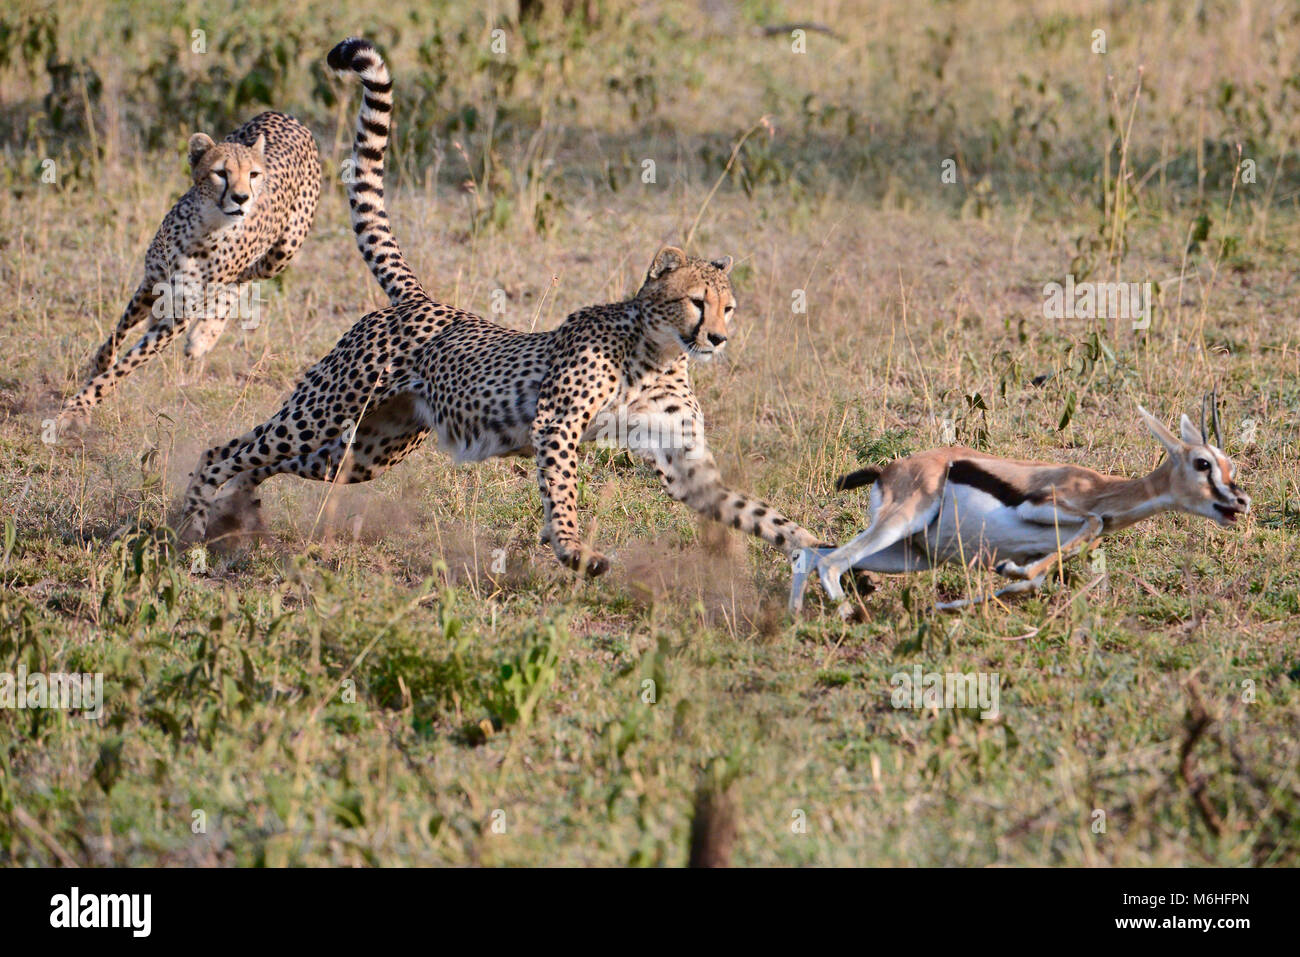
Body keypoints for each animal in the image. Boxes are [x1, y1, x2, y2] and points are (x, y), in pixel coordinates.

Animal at [56, 111, 322, 426]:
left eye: (253, 175)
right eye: (221, 173)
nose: (242, 198)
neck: (207, 227)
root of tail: (286, 116)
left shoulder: (179, 315)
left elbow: (128, 364)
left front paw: (80, 404)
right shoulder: (152, 282)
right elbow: (118, 332)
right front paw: (100, 363)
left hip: (281, 252)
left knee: (241, 281)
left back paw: (204, 336)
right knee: (236, 281)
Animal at [179, 37, 826, 572]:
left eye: (729, 308)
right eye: (696, 302)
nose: (718, 339)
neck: (660, 352)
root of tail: (422, 299)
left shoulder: (687, 465)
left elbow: (757, 511)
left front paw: (821, 553)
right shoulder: (556, 423)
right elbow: (562, 493)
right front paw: (573, 549)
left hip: (358, 451)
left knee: (262, 461)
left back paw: (235, 517)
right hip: (325, 410)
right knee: (227, 448)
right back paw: (188, 529)